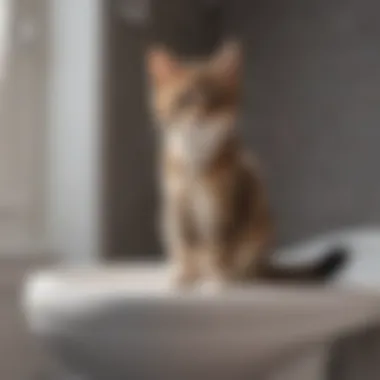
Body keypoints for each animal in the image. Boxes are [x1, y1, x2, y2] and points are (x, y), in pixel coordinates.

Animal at [145, 39, 348, 288]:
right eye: (185, 99)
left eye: (216, 98)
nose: (201, 115)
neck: (196, 161)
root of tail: (266, 263)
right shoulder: (177, 205)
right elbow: (186, 244)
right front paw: (185, 276)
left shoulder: (227, 203)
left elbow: (220, 247)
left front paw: (217, 280)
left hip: (259, 222)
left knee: (245, 264)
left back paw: (234, 275)